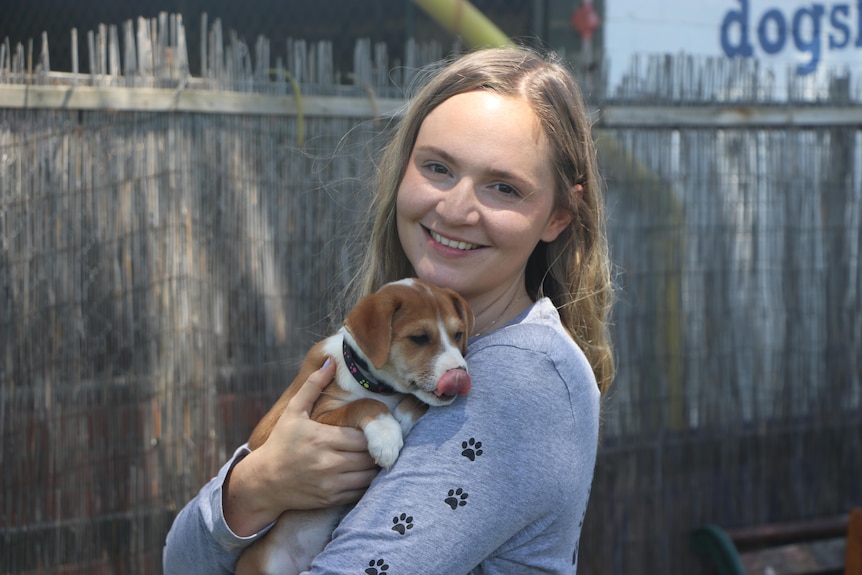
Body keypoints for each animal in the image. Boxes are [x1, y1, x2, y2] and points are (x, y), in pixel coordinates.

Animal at [235, 280, 472, 575]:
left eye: (458, 334)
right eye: (419, 337)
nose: (460, 375)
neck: (374, 383)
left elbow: (414, 399)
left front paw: (402, 418)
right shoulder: (316, 417)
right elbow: (364, 404)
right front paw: (386, 436)